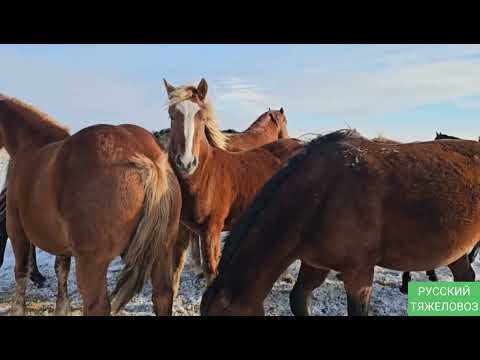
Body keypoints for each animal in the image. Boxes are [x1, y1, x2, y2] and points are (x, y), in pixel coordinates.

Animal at [0, 95, 181, 316]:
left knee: (97, 306)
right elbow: (61, 271)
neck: (31, 145)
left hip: (92, 264)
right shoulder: (62, 245)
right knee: (163, 296)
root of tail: (144, 156)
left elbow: (21, 272)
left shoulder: (16, 229)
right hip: (163, 251)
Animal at [163, 79, 302, 284]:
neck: (205, 175)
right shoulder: (183, 231)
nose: (186, 162)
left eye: (202, 117)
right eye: (171, 115)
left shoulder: (211, 230)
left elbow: (212, 271)